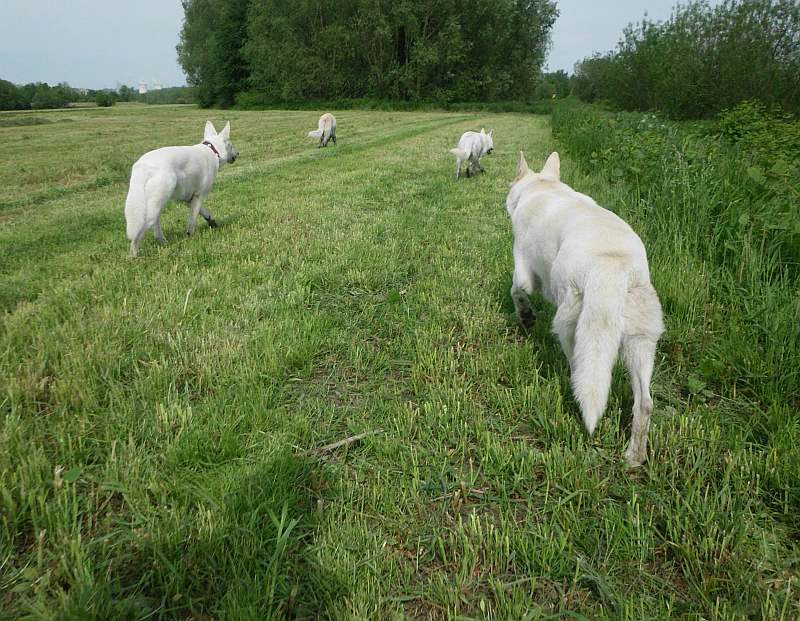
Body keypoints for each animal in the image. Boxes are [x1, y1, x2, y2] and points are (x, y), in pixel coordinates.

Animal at [122, 118, 238, 256]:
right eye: (231, 145)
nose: (238, 154)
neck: (212, 150)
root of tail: (143, 166)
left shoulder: (187, 198)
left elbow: (205, 212)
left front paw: (212, 222)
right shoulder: (199, 196)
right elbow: (192, 220)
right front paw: (190, 237)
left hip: (155, 206)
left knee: (155, 228)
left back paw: (163, 243)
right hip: (152, 209)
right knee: (138, 235)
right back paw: (133, 256)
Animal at [510, 151, 664, 464]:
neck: (543, 187)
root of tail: (611, 265)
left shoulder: (522, 272)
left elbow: (517, 292)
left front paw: (527, 317)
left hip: (572, 332)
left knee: (579, 373)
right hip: (640, 344)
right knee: (645, 403)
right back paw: (634, 457)